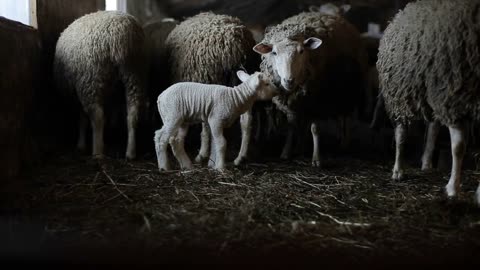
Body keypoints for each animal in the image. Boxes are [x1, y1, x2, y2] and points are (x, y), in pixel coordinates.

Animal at [53, 11, 147, 160]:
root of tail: (120, 38)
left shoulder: (79, 90)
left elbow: (82, 118)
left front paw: (81, 145)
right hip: (135, 74)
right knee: (133, 113)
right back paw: (130, 153)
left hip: (91, 80)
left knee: (97, 117)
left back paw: (98, 152)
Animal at [164, 12, 258, 167]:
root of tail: (235, 45)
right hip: (245, 78)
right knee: (247, 120)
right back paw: (240, 157)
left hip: (208, 80)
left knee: (208, 124)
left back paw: (203, 155)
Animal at [255, 12, 368, 167]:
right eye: (274, 52)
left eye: (302, 51)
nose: (288, 80)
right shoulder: (294, 103)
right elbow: (291, 126)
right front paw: (286, 152)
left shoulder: (317, 101)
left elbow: (315, 129)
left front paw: (316, 159)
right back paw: (300, 146)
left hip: (348, 91)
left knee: (346, 117)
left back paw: (344, 143)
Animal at [376, 0, 480, 205]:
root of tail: (401, 13)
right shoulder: (452, 97)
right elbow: (458, 147)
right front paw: (452, 189)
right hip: (400, 93)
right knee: (401, 132)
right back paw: (398, 170)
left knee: (432, 127)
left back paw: (426, 163)